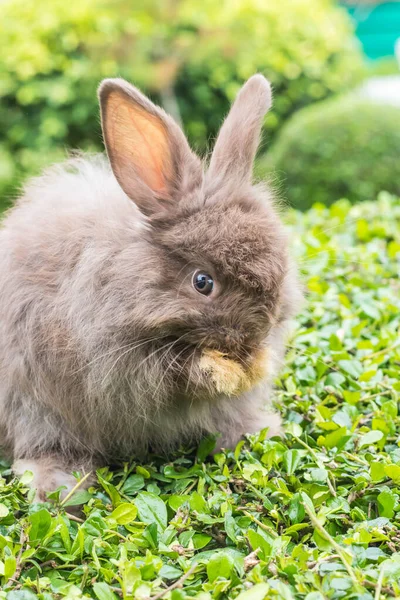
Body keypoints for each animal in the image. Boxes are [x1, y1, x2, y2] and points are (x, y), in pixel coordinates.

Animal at [0, 74, 302, 502]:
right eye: (202, 282)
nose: (249, 341)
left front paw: (254, 365)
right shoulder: (118, 360)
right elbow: (173, 373)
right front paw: (222, 369)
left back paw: (260, 433)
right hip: (34, 410)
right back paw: (60, 489)